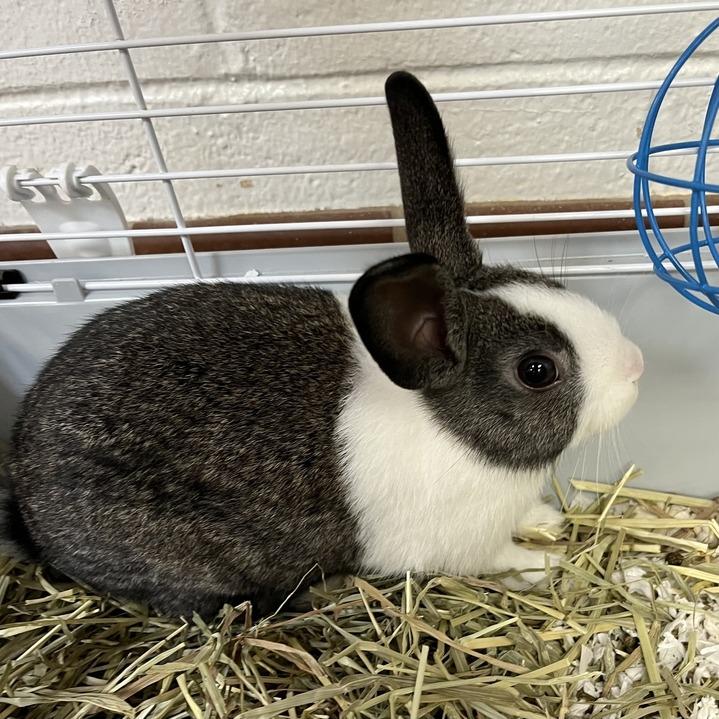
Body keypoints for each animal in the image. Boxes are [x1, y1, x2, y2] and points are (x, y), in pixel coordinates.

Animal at [1, 72, 644, 618]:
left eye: (548, 284)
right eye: (537, 370)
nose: (637, 364)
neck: (453, 430)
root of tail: (27, 509)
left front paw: (548, 520)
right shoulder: (463, 544)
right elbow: (499, 559)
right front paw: (545, 562)